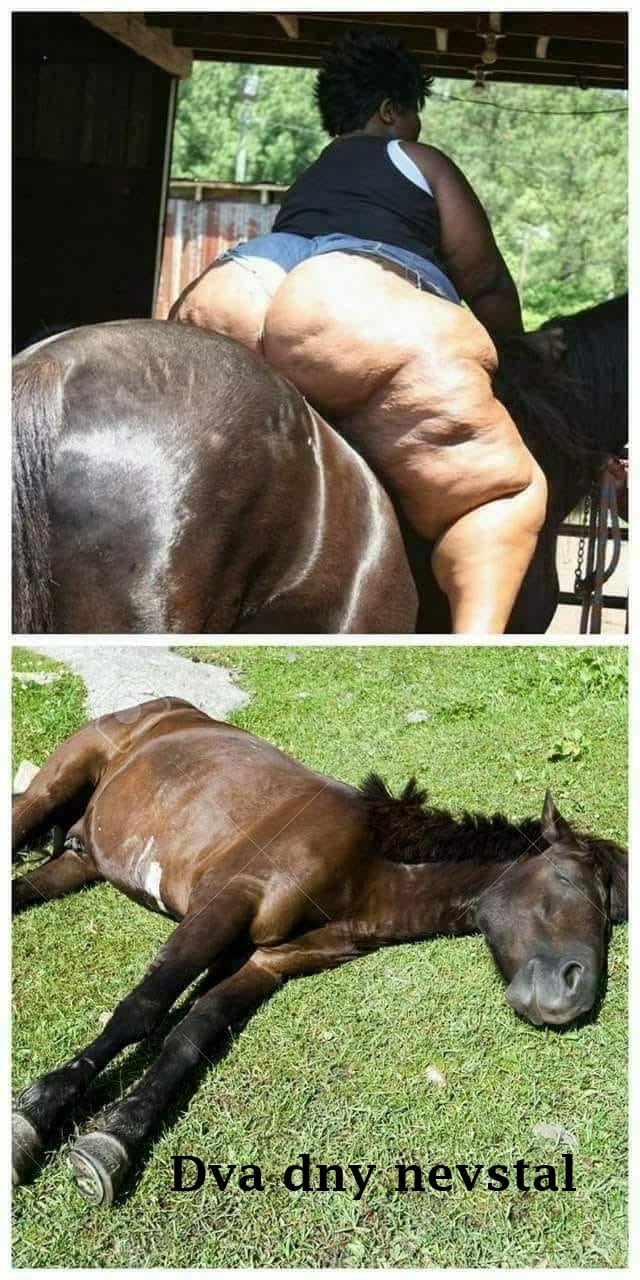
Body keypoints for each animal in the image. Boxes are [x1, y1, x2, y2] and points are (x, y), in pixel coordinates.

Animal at [12, 698, 627, 1204]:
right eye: (570, 883)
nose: (574, 993)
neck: (364, 866)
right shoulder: (225, 904)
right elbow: (142, 1009)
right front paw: (37, 1113)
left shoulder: (266, 963)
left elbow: (189, 1036)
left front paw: (115, 1137)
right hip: (51, 790)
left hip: (80, 861)